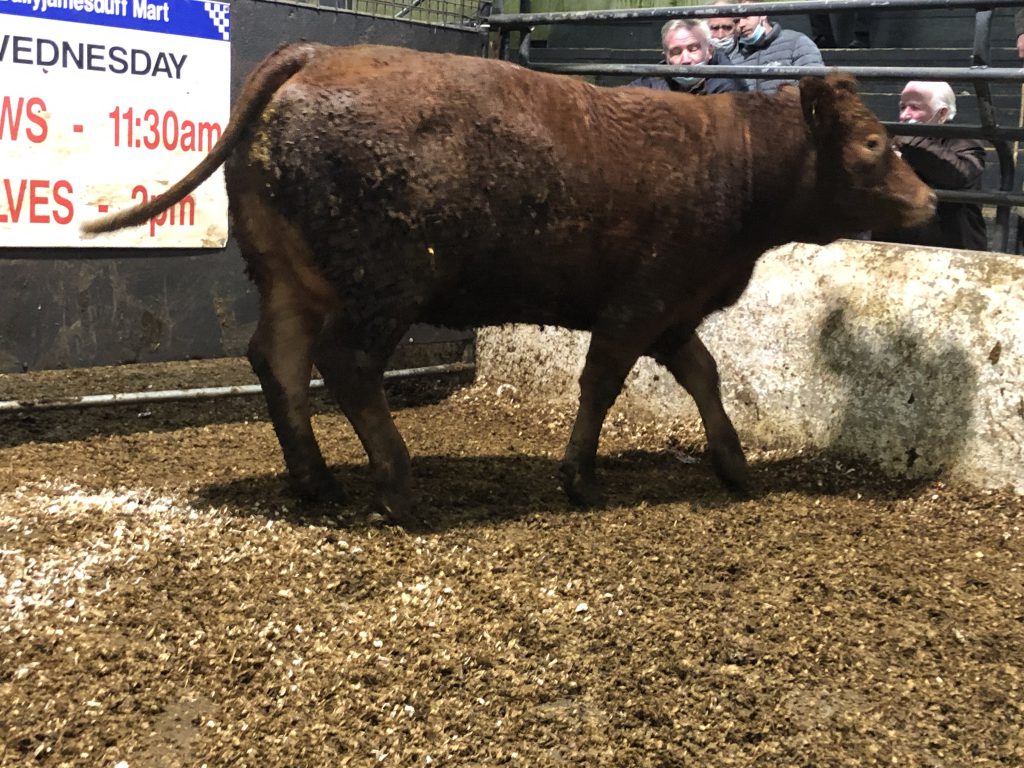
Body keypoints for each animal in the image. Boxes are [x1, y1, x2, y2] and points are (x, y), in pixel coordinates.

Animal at [82, 43, 936, 528]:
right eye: (873, 143)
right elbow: (602, 382)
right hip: (386, 282)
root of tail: (318, 53)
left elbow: (705, 375)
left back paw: (316, 481)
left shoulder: (674, 309)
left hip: (290, 276)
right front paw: (579, 477)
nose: (929, 201)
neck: (735, 163)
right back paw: (399, 490)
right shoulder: (640, 303)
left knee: (279, 360)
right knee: (347, 365)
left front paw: (733, 465)